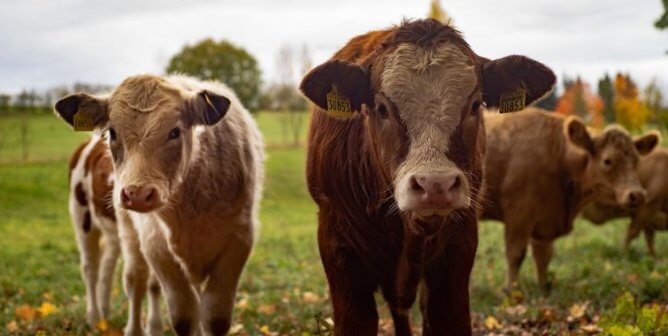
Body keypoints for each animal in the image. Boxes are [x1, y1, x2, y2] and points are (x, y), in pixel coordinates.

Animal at [68, 135, 163, 334]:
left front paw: (155, 328)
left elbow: (155, 283)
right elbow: (135, 278)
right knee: (90, 267)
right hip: (82, 214)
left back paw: (104, 313)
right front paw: (135, 330)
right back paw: (93, 317)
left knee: (107, 264)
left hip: (113, 232)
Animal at [480, 108, 656, 294]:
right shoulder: (518, 215)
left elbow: (544, 257)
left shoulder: (545, 222)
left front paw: (543, 290)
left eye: (637, 161)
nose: (637, 194)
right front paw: (511, 291)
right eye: (607, 160)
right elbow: (516, 254)